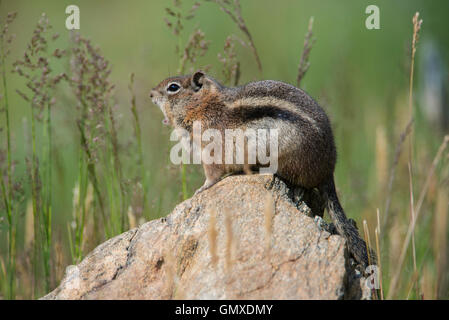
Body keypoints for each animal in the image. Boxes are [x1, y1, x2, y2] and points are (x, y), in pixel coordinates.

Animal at [150, 71, 372, 268]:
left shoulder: (211, 153)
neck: (203, 106)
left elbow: (212, 176)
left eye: (173, 87)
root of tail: (329, 170)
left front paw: (201, 189)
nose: (151, 94)